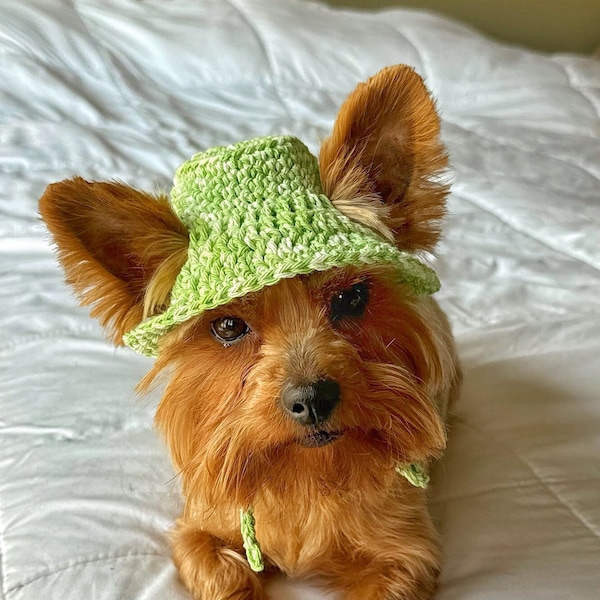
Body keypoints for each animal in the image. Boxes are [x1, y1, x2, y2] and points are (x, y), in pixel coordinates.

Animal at [39, 65, 462, 600]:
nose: (312, 398)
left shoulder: (405, 555)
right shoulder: (198, 531)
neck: (306, 476)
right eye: (227, 325)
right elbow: (220, 571)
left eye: (351, 297)